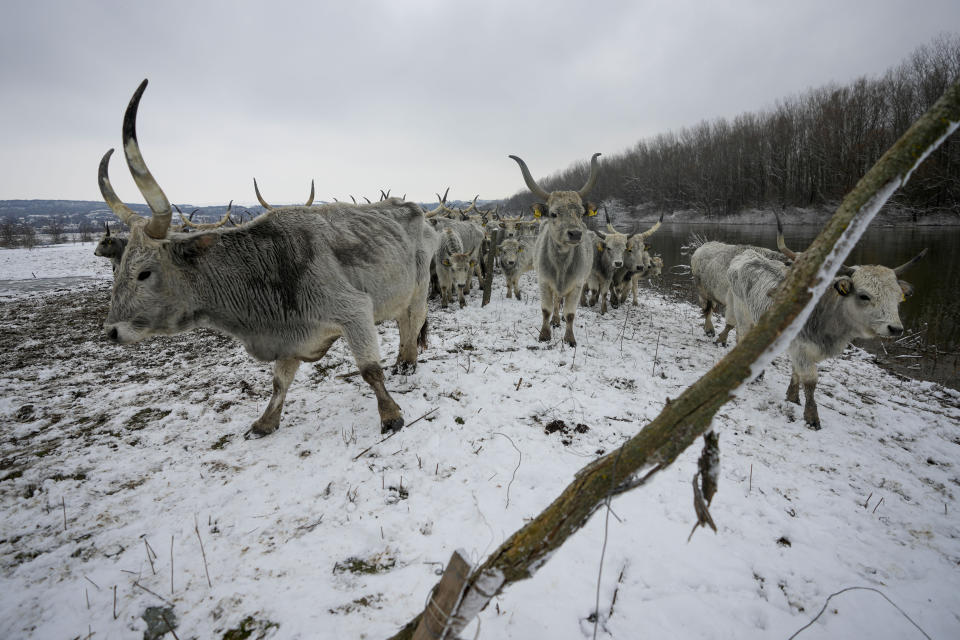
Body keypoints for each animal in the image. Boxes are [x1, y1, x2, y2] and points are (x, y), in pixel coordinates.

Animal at [96, 80, 436, 438]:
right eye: (119, 269)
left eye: (144, 273)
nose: (111, 331)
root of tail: (415, 209)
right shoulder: (291, 336)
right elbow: (279, 382)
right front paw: (265, 422)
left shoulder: (354, 311)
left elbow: (370, 370)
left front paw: (390, 415)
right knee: (403, 322)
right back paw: (403, 360)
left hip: (420, 288)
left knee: (414, 321)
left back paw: (408, 362)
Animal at [510, 153, 600, 348]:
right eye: (553, 213)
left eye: (581, 213)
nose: (575, 233)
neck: (561, 264)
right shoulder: (544, 282)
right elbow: (546, 309)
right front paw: (544, 334)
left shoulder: (577, 285)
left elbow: (571, 313)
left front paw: (570, 339)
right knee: (557, 301)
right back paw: (556, 321)